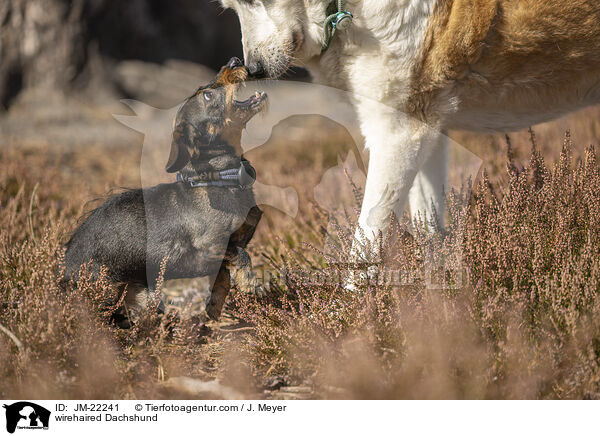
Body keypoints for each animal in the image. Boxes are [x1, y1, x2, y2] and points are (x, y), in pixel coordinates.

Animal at [62, 57, 266, 324]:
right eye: (208, 95)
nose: (234, 61)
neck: (221, 179)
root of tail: (63, 275)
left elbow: (222, 280)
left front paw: (216, 308)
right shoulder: (211, 246)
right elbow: (242, 254)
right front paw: (251, 283)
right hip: (106, 292)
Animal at [219, 0, 600, 249]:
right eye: (232, 6)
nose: (252, 69)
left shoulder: (397, 135)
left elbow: (365, 247)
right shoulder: (427, 133)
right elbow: (428, 229)